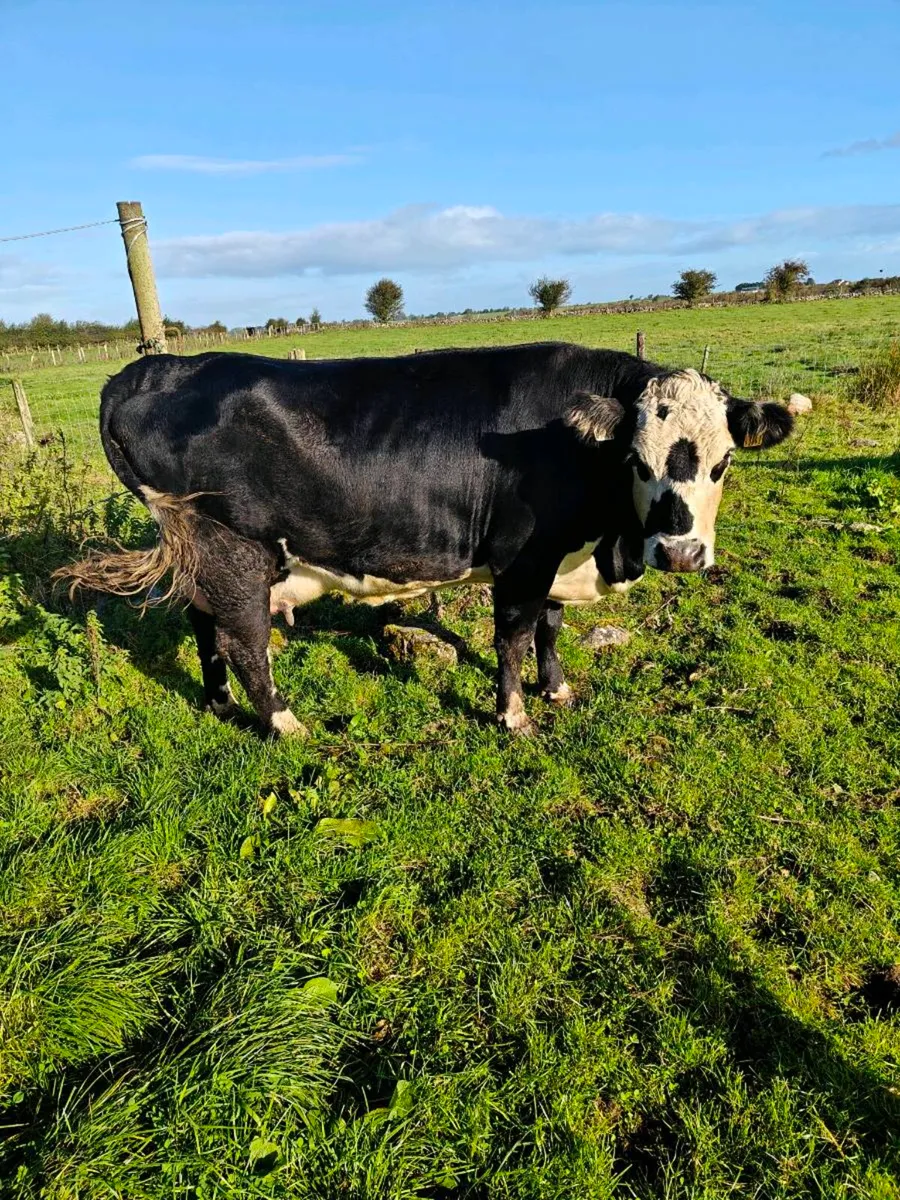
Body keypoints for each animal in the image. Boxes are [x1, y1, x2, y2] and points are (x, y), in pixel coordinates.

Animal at [57, 343, 793, 736]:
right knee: (242, 638)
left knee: (204, 626)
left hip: (204, 559)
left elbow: (551, 628)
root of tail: (152, 369)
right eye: (638, 461)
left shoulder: (558, 555)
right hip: (231, 547)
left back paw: (220, 702)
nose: (681, 554)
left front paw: (557, 689)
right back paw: (283, 722)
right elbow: (514, 636)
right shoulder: (523, 557)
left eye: (725, 461)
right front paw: (514, 714)